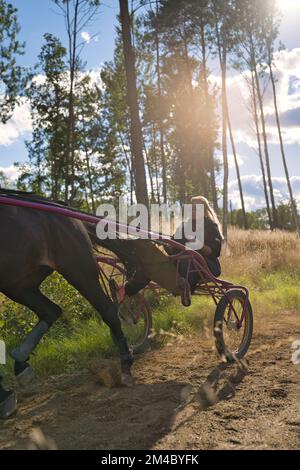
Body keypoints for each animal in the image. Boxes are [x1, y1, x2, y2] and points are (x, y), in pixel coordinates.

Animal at [0, 200, 134, 416]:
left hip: (77, 268)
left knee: (107, 310)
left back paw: (126, 364)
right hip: (18, 284)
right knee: (50, 310)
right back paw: (20, 364)